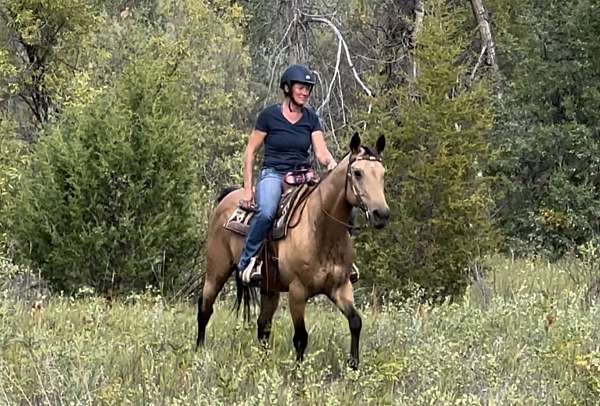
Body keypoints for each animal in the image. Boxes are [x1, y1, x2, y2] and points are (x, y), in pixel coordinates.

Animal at [197, 133, 392, 368]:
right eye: (357, 173)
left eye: (383, 173)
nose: (381, 214)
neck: (321, 231)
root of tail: (225, 198)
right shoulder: (297, 292)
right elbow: (301, 337)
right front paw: (299, 372)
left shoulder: (341, 287)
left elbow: (355, 322)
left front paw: (353, 367)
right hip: (216, 271)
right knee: (204, 308)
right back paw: (198, 352)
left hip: (269, 287)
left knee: (263, 325)